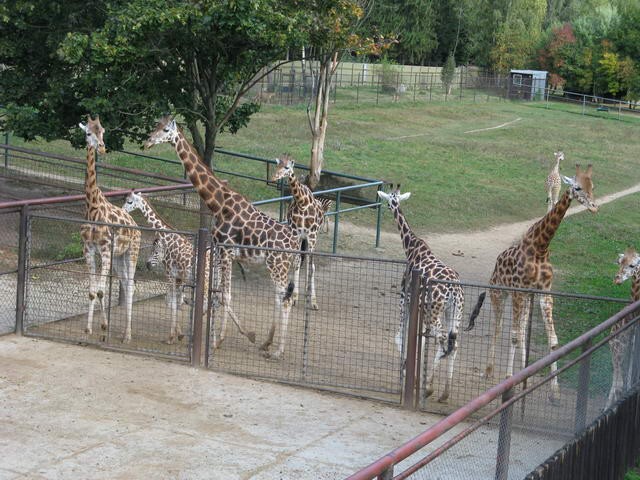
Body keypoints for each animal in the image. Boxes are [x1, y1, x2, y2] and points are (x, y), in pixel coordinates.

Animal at [79, 116, 141, 343]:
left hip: (132, 252)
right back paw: (123, 331)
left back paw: (127, 335)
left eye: (103, 131)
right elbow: (92, 291)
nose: (103, 147)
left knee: (130, 286)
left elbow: (100, 291)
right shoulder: (89, 248)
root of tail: (136, 226)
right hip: (118, 257)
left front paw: (103, 328)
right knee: (125, 284)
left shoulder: (105, 249)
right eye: (88, 133)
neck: (92, 207)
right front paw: (91, 328)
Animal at [144, 117, 301, 359]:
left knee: (285, 300)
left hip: (277, 265)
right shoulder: (221, 250)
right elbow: (218, 292)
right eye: (156, 126)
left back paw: (277, 351)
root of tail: (295, 243)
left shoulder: (226, 250)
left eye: (166, 130)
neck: (218, 203)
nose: (148, 142)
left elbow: (224, 295)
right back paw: (267, 343)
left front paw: (218, 341)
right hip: (281, 267)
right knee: (283, 298)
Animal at [271, 154, 333, 310]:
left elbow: (311, 266)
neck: (302, 203)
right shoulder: (297, 234)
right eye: (277, 165)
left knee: (311, 263)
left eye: (287, 167)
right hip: (303, 239)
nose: (273, 178)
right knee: (303, 260)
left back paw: (309, 295)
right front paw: (295, 297)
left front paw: (313, 300)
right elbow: (297, 262)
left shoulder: (312, 235)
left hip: (313, 238)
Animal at [378, 186, 484, 403]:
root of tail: (454, 290)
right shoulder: (420, 306)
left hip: (434, 312)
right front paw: (412, 377)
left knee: (442, 338)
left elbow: (401, 336)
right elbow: (420, 339)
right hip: (454, 311)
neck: (411, 246)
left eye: (389, 201)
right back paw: (444, 393)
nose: (388, 207)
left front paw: (405, 376)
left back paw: (429, 388)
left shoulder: (405, 298)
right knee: (454, 342)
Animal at [477, 164, 598, 402]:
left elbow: (553, 339)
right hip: (499, 293)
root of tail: (497, 261)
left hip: (525, 298)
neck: (541, 247)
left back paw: (522, 373)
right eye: (577, 187)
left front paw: (555, 393)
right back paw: (489, 370)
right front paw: (508, 378)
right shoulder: (518, 291)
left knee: (522, 329)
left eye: (593, 186)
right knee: (499, 327)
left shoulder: (544, 293)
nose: (594, 207)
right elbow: (513, 336)